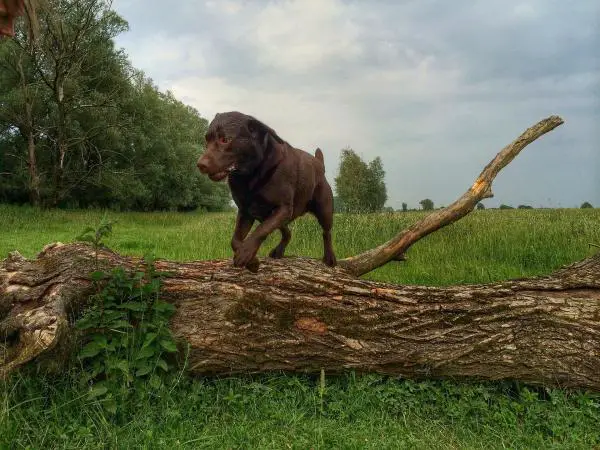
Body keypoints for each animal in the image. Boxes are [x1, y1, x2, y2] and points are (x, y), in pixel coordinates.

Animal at [198, 111, 336, 270]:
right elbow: (235, 239)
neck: (250, 176)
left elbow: (260, 231)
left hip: (324, 210)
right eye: (206, 141)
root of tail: (319, 163)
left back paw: (329, 258)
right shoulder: (245, 212)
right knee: (288, 233)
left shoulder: (282, 208)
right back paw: (278, 251)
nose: (200, 164)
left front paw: (245, 254)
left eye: (225, 139)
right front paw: (252, 261)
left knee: (327, 232)